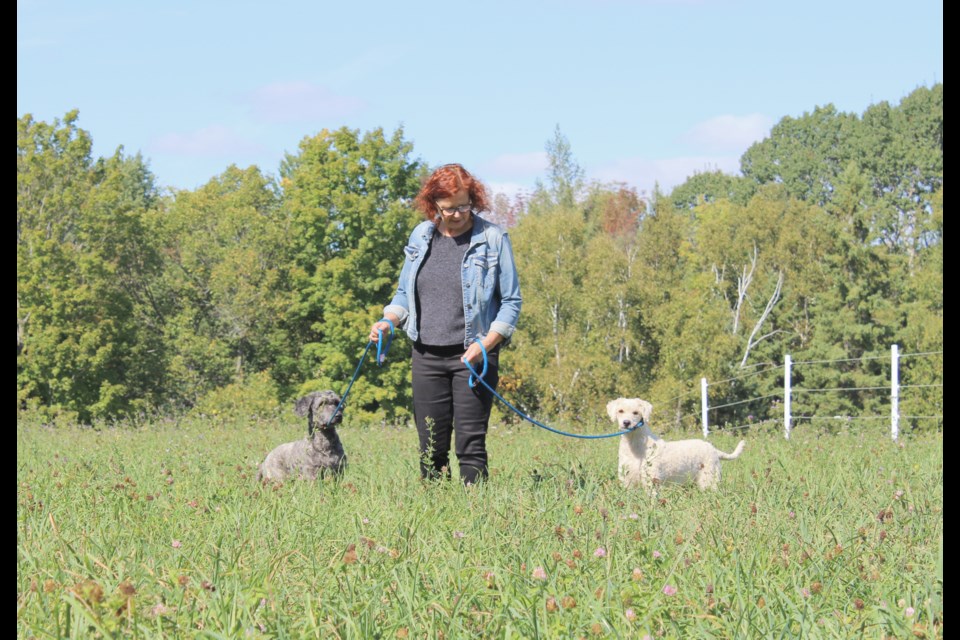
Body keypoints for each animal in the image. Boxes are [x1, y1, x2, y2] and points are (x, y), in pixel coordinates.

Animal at [608, 398, 744, 492]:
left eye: (636, 412)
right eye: (620, 411)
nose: (626, 423)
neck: (635, 445)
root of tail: (714, 449)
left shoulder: (651, 481)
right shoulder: (627, 480)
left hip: (709, 480)